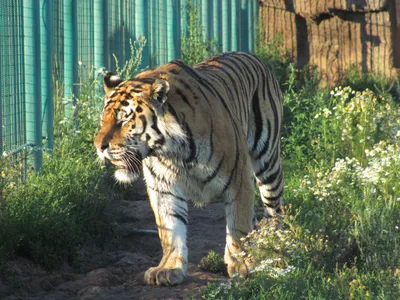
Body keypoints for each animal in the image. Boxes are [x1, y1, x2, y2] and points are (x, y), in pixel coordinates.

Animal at [94, 51, 284, 286]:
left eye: (123, 120)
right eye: (102, 120)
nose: (98, 146)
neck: (172, 150)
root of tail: (250, 55)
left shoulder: (239, 178)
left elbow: (238, 223)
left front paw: (241, 265)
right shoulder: (163, 186)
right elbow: (169, 228)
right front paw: (168, 268)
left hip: (268, 162)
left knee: (275, 208)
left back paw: (274, 245)